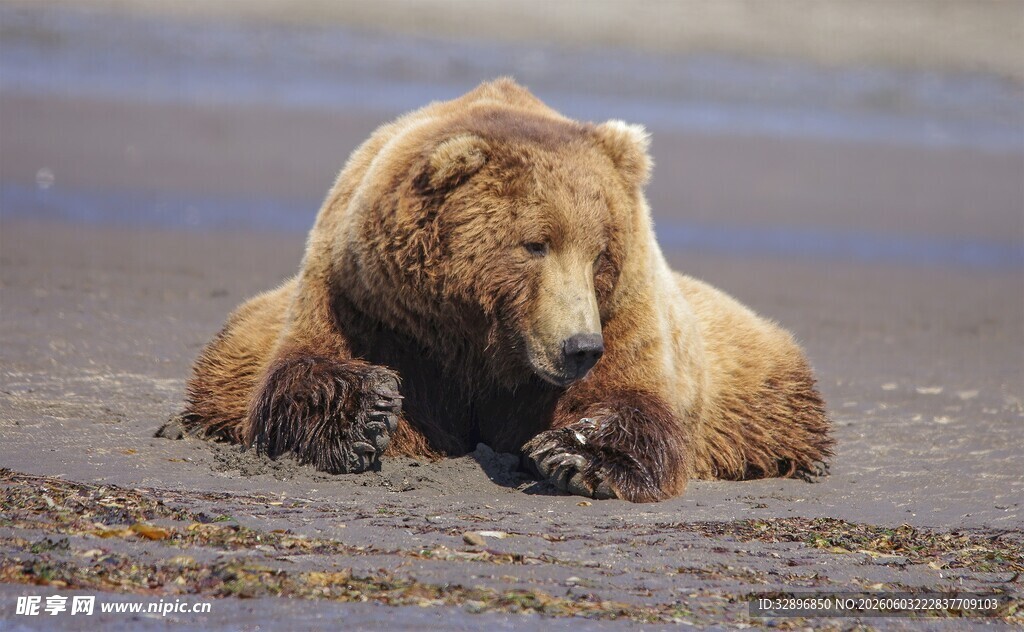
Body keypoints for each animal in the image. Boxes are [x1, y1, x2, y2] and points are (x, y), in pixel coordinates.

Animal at [180, 78, 832, 503]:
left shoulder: (625, 312)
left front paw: (574, 454)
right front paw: (368, 414)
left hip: (751, 375)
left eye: (600, 252)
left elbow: (637, 401)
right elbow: (302, 369)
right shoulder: (367, 302)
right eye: (535, 244)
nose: (579, 347)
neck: (484, 343)